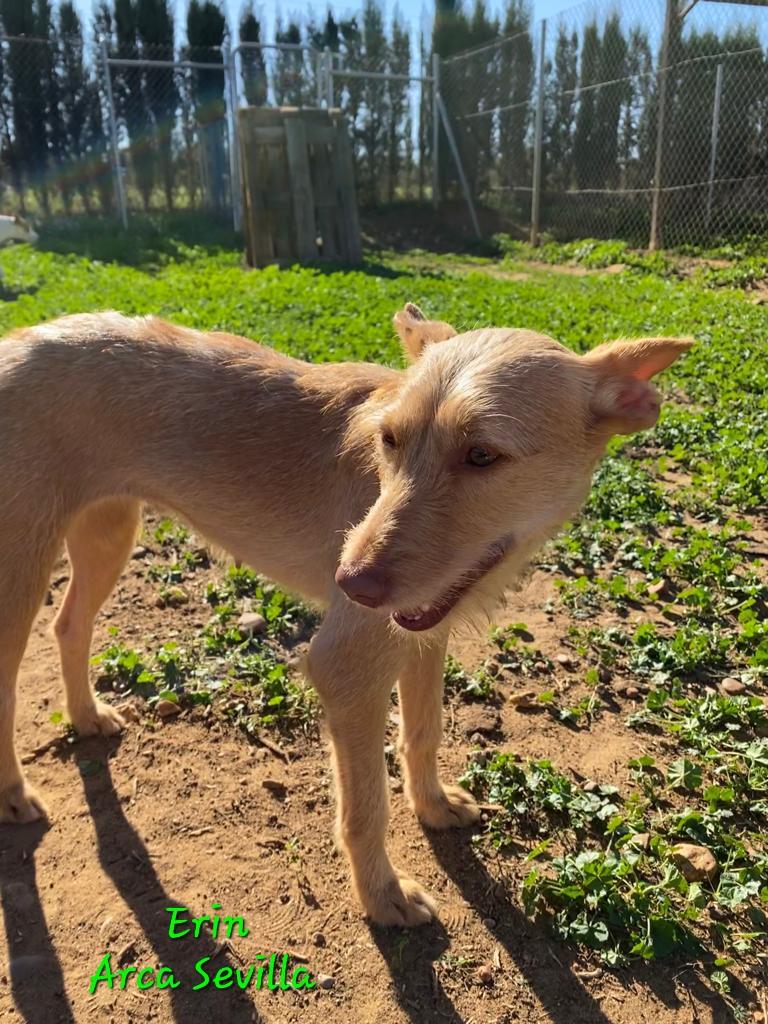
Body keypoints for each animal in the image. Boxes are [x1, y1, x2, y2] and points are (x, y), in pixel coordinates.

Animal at [0, 304, 691, 926]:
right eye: (390, 441)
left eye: (483, 456)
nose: (349, 584)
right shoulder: (346, 667)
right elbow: (365, 809)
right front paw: (382, 896)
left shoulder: (424, 632)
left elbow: (423, 732)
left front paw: (432, 805)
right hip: (23, 568)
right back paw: (12, 792)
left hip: (108, 530)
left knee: (70, 624)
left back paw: (86, 716)